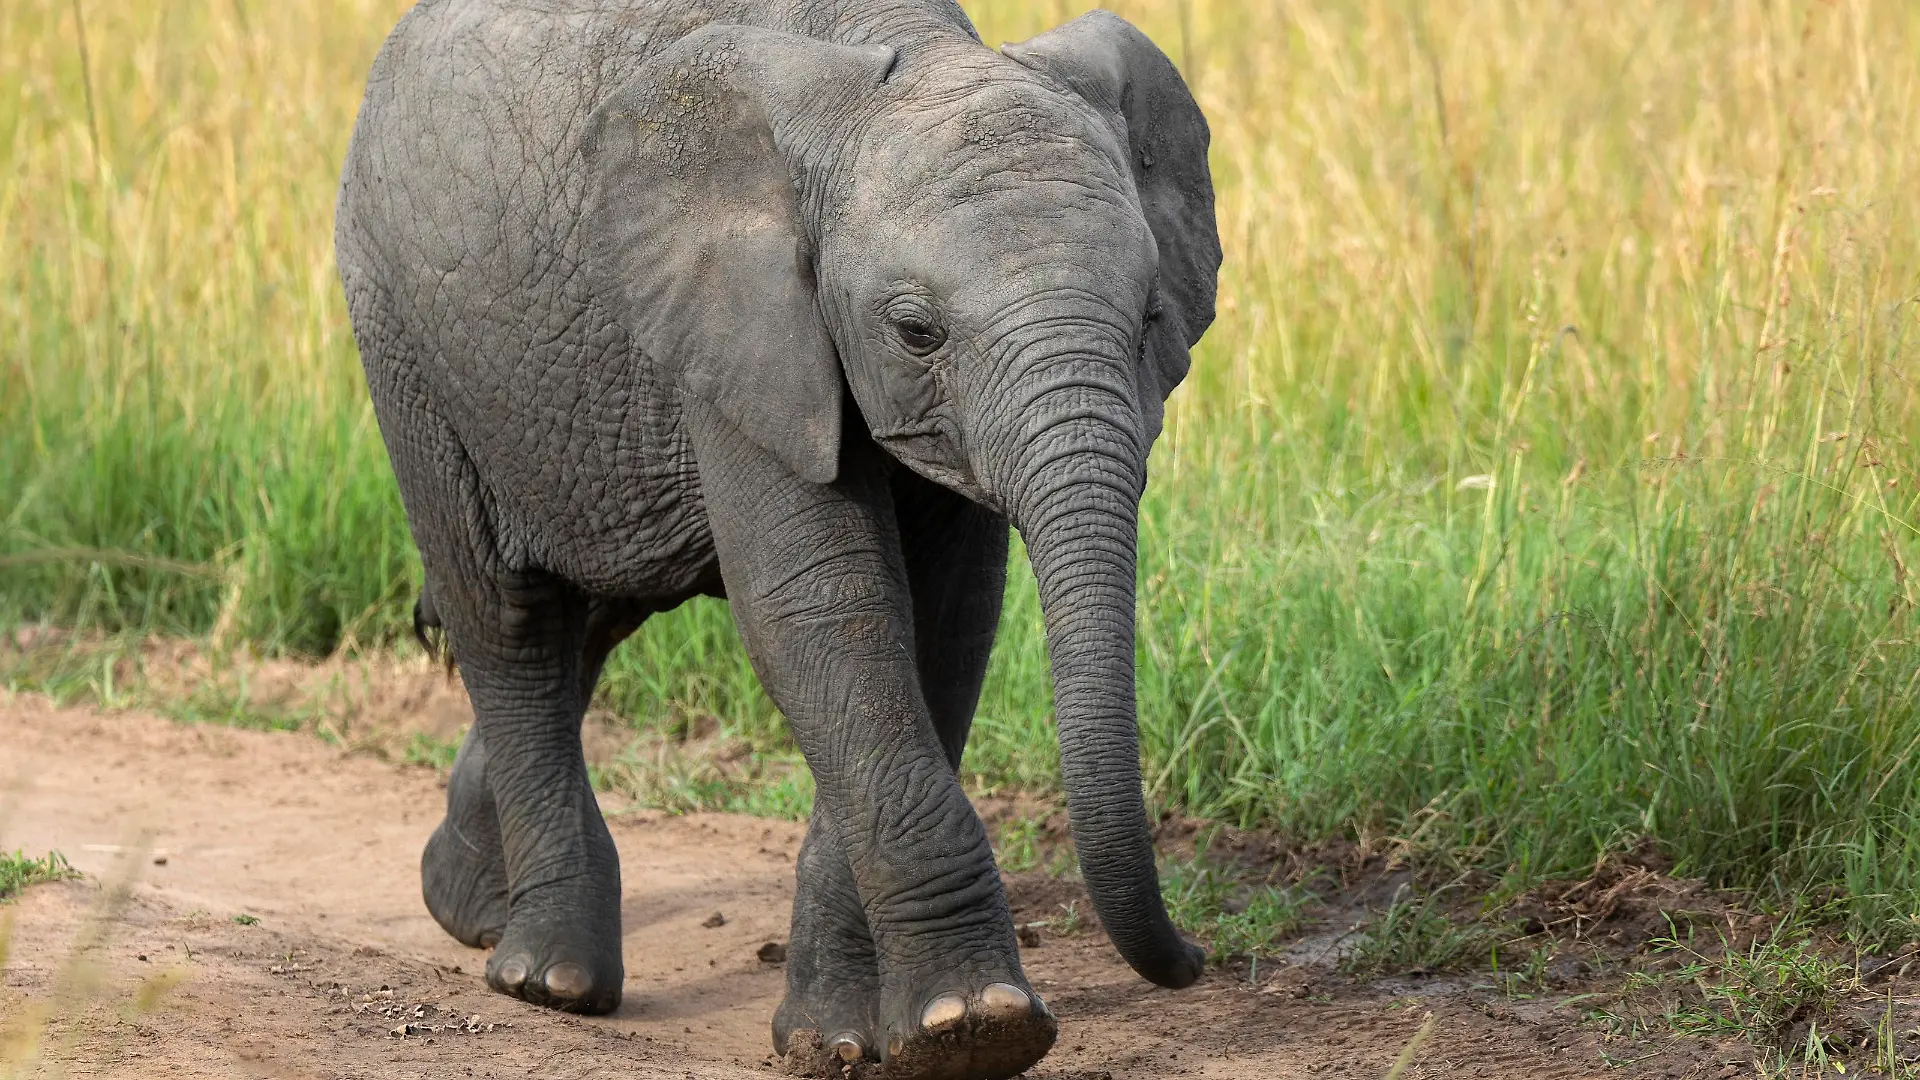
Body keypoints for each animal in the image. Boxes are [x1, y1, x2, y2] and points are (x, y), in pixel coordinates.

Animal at [333, 1, 1219, 1077]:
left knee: (595, 613)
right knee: (508, 616)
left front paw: (843, 1037)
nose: (1197, 959)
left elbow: (943, 627)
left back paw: (465, 906)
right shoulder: (741, 318)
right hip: (400, 331)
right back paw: (549, 979)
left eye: (1150, 319)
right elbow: (825, 608)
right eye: (916, 331)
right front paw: (980, 1025)